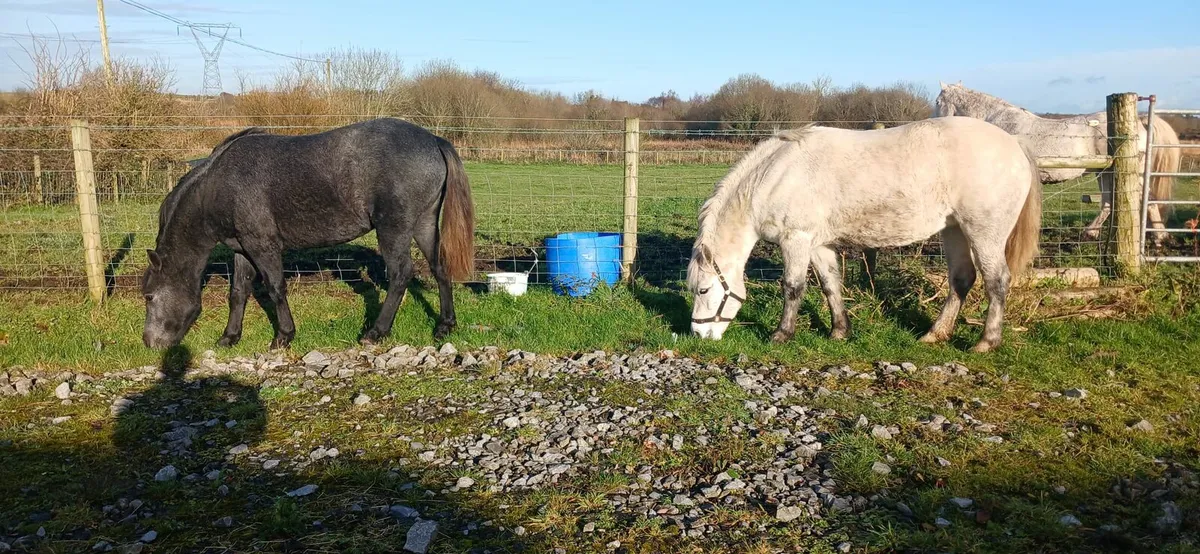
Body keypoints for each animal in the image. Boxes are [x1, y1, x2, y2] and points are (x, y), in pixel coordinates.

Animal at [142, 118, 475, 350]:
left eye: (148, 296)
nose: (149, 342)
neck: (220, 184)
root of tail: (433, 139)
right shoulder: (242, 249)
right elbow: (238, 293)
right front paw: (229, 337)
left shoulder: (263, 246)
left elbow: (275, 288)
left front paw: (283, 336)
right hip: (424, 224)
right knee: (439, 268)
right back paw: (445, 325)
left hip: (393, 229)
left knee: (400, 275)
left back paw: (376, 332)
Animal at [687, 116, 1042, 353]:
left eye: (703, 290)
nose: (698, 335)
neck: (774, 175)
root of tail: (1015, 143)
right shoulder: (819, 244)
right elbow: (830, 285)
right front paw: (840, 331)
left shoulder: (796, 240)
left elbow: (793, 287)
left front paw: (781, 335)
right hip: (954, 230)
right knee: (961, 280)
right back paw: (935, 334)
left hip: (984, 233)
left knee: (997, 281)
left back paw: (986, 342)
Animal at [933, 81, 1182, 245]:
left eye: (937, 101)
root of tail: (1139, 122)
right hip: (1104, 172)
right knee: (1109, 203)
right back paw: (1092, 234)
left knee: (1146, 199)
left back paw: (1160, 237)